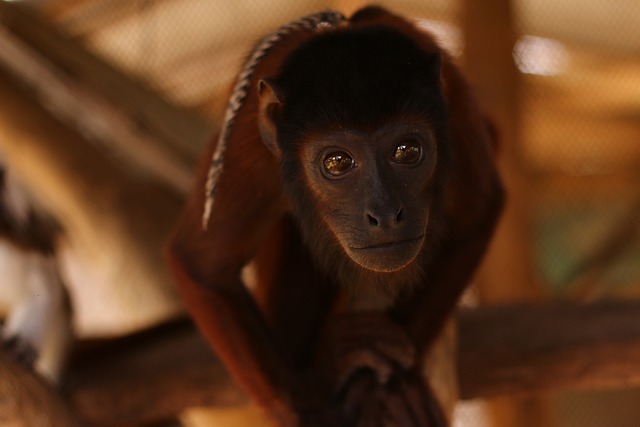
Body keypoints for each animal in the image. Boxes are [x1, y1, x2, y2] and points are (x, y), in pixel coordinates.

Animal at [166, 6, 504, 427]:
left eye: (408, 151)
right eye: (337, 162)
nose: (385, 214)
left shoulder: (453, 103)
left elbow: (477, 214)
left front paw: (391, 386)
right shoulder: (247, 141)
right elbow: (202, 265)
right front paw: (310, 408)